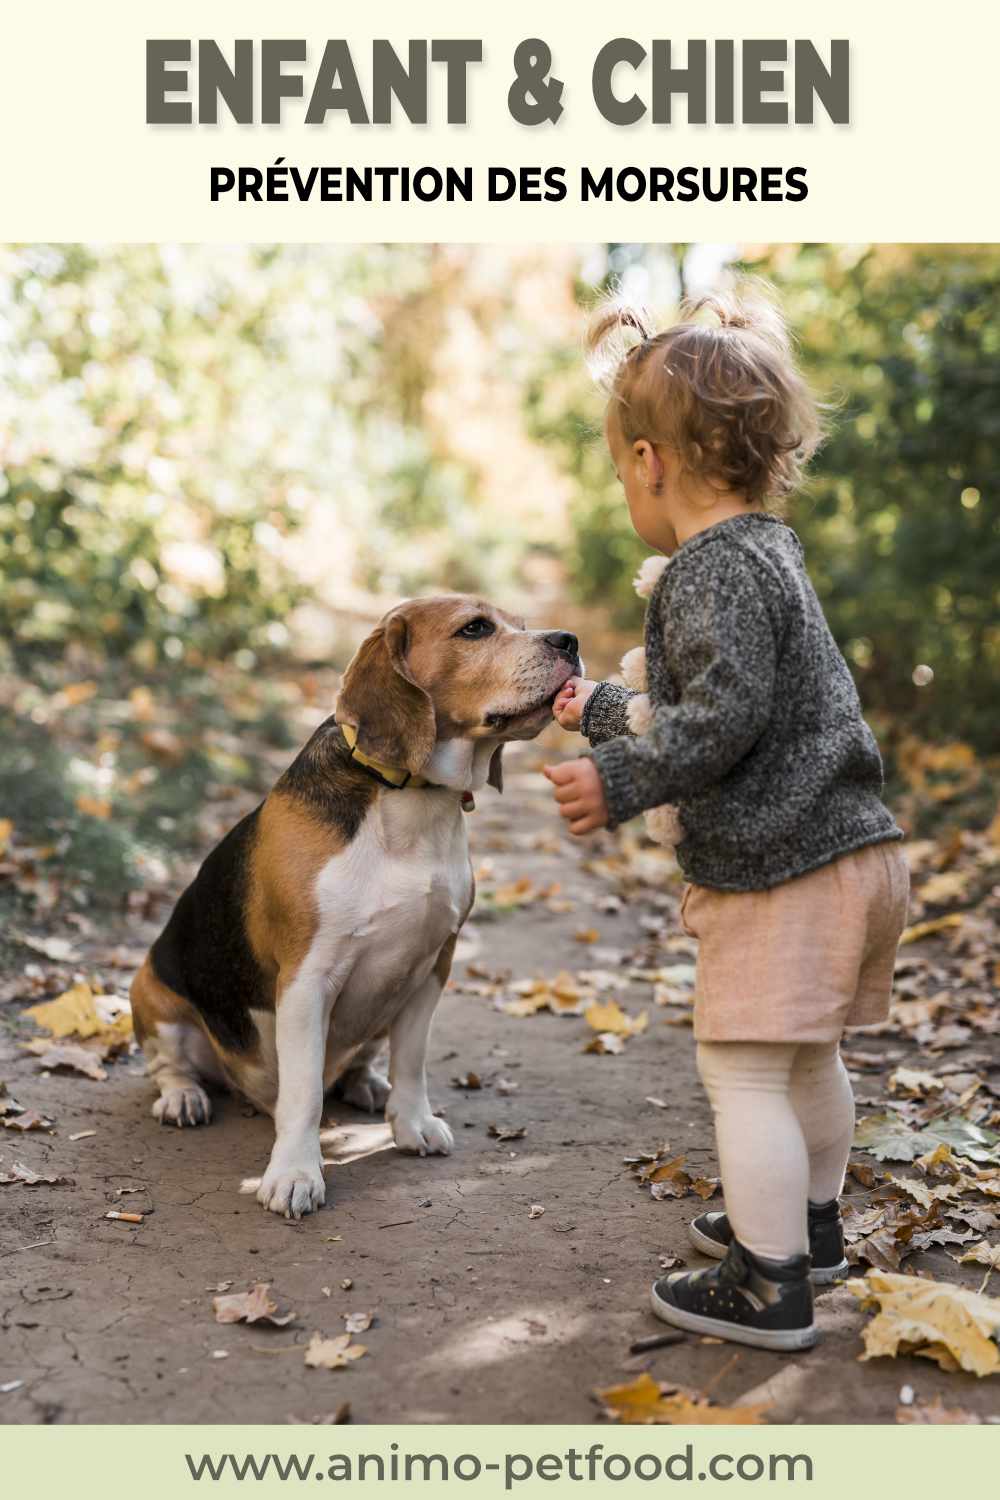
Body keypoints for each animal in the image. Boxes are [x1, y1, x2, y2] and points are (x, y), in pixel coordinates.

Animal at [130, 591, 581, 1212]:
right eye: (475, 629)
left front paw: (411, 1123)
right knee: (170, 1063)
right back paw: (182, 1096)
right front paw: (295, 1173)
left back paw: (365, 1083)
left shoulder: (433, 964)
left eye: (518, 622)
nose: (570, 641)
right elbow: (302, 1096)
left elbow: (412, 1059)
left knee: (362, 1060)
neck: (409, 801)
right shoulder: (306, 981)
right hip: (152, 991)